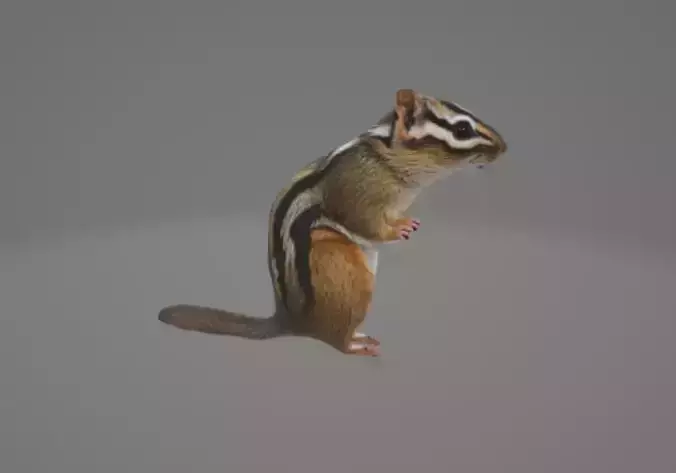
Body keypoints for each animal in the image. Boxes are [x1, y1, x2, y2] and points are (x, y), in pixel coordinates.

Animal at [158, 88, 507, 357]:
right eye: (462, 130)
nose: (504, 147)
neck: (388, 157)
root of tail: (290, 321)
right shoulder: (357, 192)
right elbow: (364, 222)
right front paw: (398, 229)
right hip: (343, 271)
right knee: (335, 340)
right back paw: (354, 345)